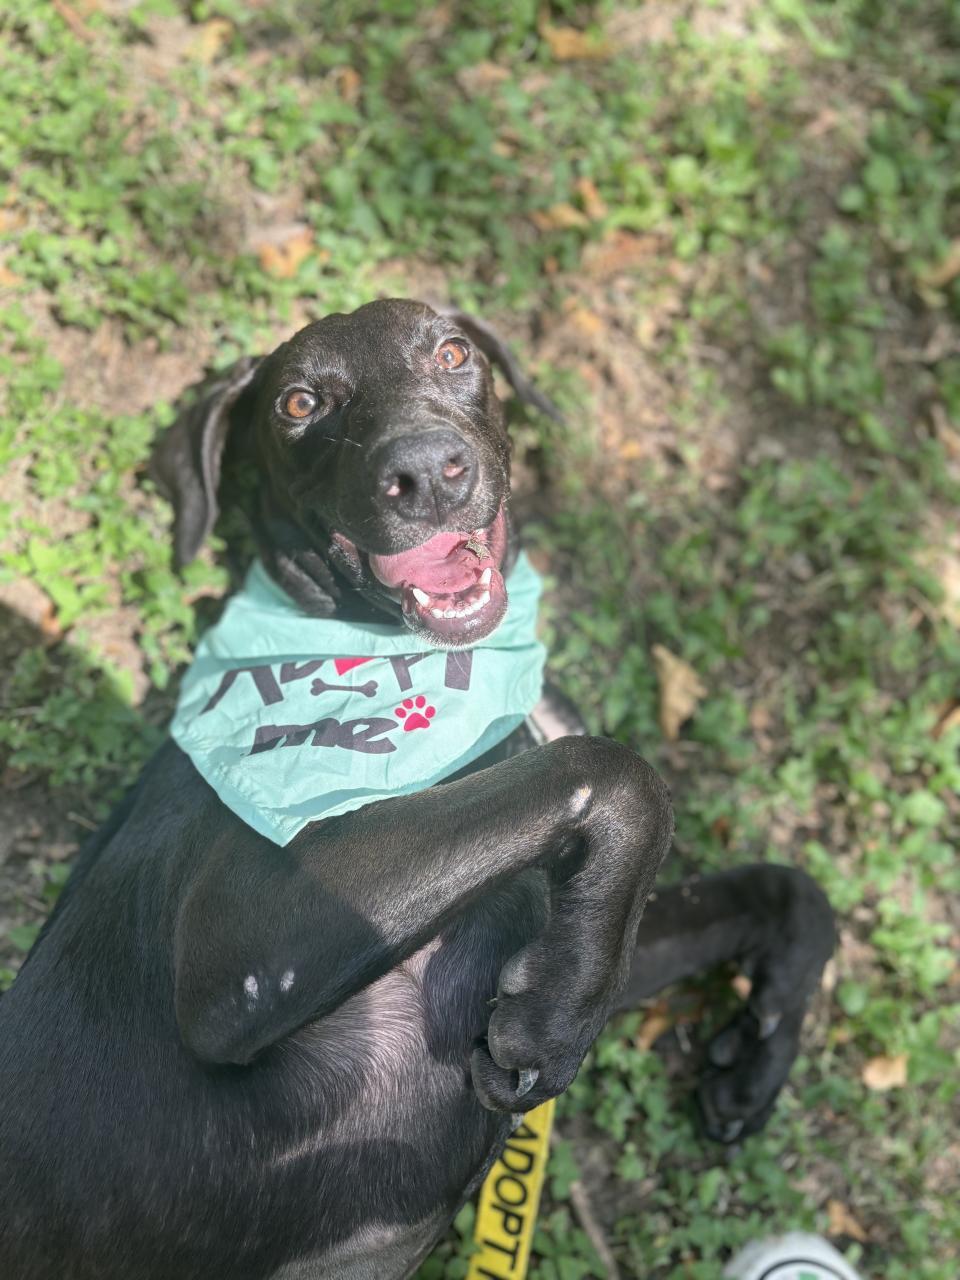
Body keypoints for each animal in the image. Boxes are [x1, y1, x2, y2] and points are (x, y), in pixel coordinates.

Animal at [0, 299, 834, 1280]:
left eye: (453, 352)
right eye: (298, 402)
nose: (429, 472)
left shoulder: (538, 908)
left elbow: (786, 887)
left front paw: (758, 1046)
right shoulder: (235, 946)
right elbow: (615, 769)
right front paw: (558, 1013)